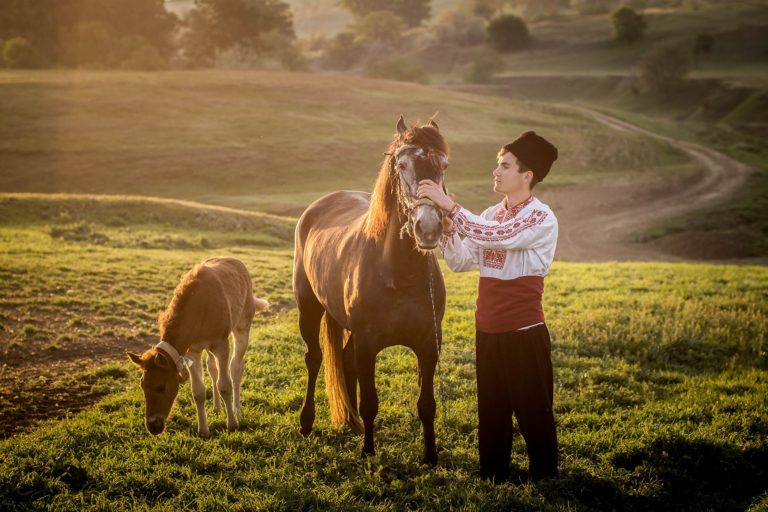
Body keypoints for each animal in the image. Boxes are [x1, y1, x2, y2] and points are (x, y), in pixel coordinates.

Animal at [127, 258, 268, 438]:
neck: (199, 307)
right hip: (207, 348)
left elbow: (225, 385)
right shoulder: (192, 352)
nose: (153, 427)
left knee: (235, 367)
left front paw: (232, 425)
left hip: (242, 327)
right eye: (142, 385)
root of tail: (236, 261)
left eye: (161, 387)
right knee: (212, 368)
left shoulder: (221, 346)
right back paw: (217, 407)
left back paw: (237, 410)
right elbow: (198, 392)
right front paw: (203, 430)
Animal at [294, 116, 450, 464]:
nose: (428, 227)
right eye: (402, 165)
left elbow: (426, 405)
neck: (398, 273)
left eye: (444, 165)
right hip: (308, 309)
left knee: (344, 360)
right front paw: (368, 450)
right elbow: (370, 403)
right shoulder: (368, 345)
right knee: (315, 358)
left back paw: (350, 420)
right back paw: (307, 422)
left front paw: (430, 456)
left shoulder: (428, 346)